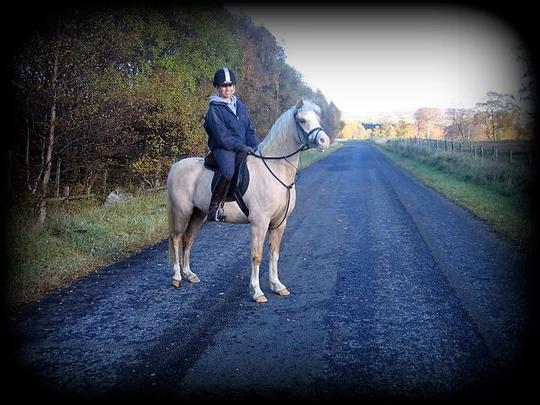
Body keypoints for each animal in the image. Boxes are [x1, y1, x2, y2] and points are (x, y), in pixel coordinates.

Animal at [167, 97, 332, 300]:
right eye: (302, 120)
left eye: (317, 118)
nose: (324, 141)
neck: (274, 169)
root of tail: (176, 166)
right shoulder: (259, 223)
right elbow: (257, 255)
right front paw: (257, 291)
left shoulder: (279, 222)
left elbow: (274, 254)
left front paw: (277, 285)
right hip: (182, 212)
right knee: (175, 238)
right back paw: (177, 277)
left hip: (198, 214)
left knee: (187, 240)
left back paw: (189, 274)